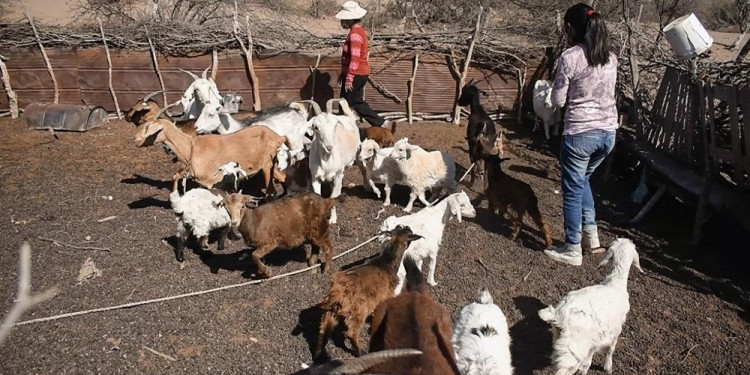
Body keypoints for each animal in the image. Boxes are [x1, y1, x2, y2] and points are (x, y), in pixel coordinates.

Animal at [316, 225, 426, 360]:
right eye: (409, 232)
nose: (408, 226)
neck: (386, 261)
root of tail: (337, 293)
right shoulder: (385, 295)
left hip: (331, 313)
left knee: (322, 330)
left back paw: (318, 354)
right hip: (359, 310)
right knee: (351, 333)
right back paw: (360, 352)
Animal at [540, 238, 648, 375]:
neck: (614, 283)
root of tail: (558, 314)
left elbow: (590, 357)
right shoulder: (616, 328)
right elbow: (611, 348)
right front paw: (608, 367)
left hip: (559, 337)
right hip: (573, 351)